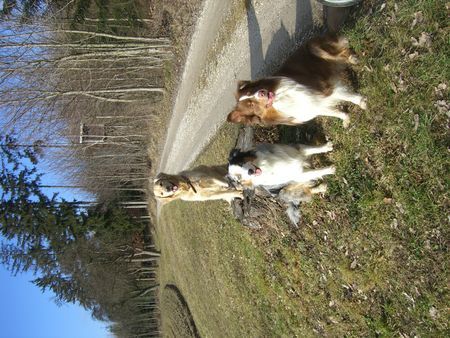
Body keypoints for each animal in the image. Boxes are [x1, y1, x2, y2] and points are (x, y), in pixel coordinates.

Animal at [227, 35, 368, 128]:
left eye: (252, 90)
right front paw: (346, 119)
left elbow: (349, 97)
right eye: (251, 104)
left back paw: (353, 58)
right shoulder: (314, 106)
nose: (261, 92)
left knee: (343, 52)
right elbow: (335, 112)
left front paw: (361, 102)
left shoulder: (325, 89)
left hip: (315, 49)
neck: (280, 100)